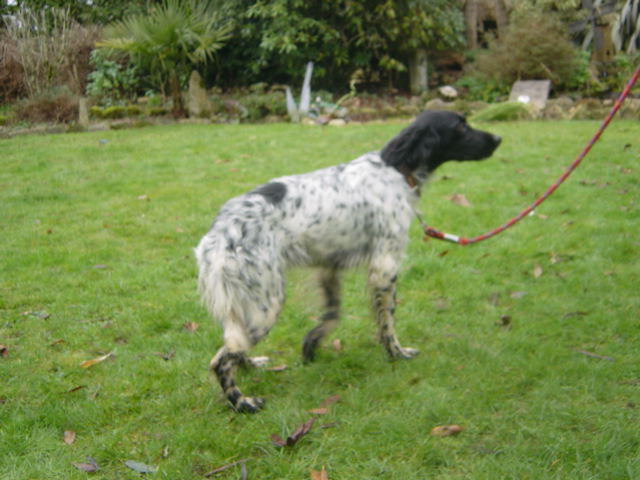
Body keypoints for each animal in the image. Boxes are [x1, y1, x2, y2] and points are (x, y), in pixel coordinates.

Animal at [194, 110, 500, 410]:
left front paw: (312, 344)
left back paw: (251, 364)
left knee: (233, 344)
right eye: (461, 126)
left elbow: (333, 313)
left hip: (244, 305)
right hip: (265, 303)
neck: (395, 168)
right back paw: (242, 401)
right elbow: (387, 322)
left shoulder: (329, 266)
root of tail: (218, 233)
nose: (498, 138)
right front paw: (397, 353)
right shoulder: (385, 267)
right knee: (221, 360)